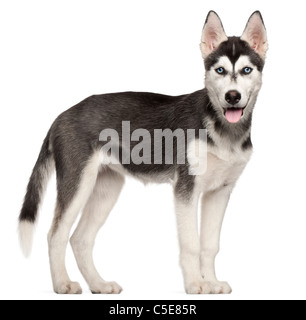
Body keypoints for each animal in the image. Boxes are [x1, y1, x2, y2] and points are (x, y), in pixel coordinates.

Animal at [18, 10, 268, 296]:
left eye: (246, 70)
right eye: (220, 70)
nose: (232, 96)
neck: (221, 128)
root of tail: (60, 116)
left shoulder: (220, 192)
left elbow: (209, 245)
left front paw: (212, 282)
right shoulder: (186, 190)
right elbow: (191, 244)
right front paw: (195, 283)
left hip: (107, 188)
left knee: (80, 239)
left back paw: (99, 284)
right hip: (77, 184)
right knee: (56, 235)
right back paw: (62, 283)